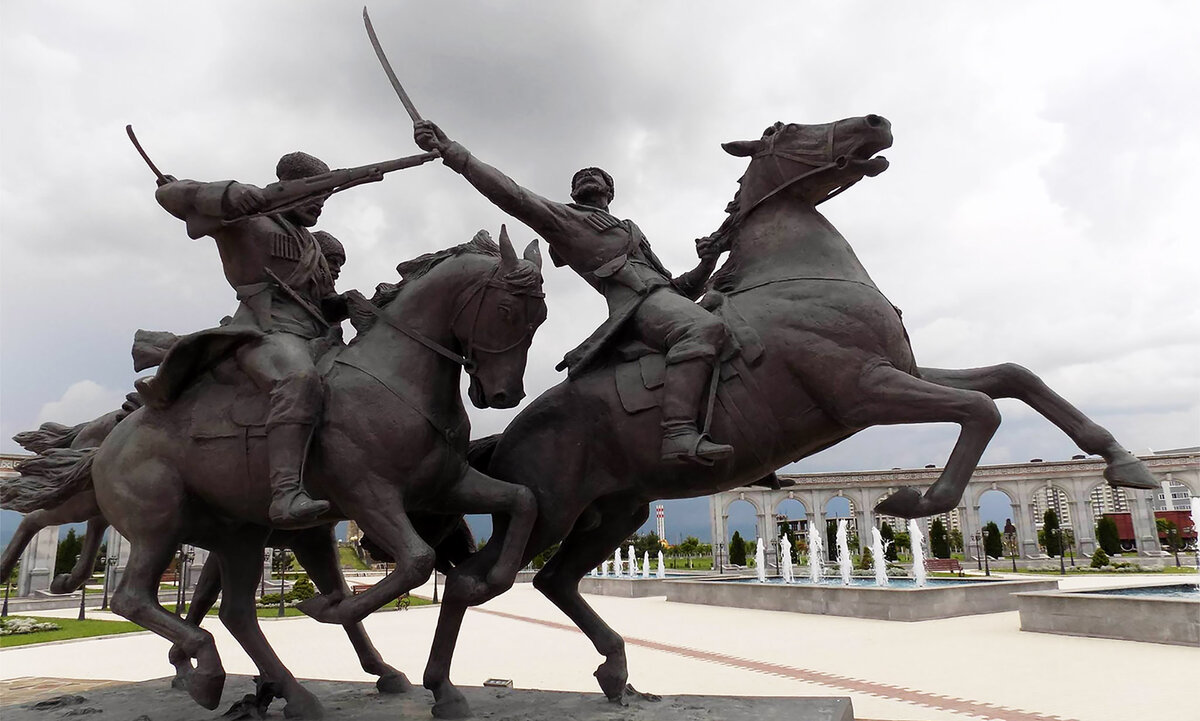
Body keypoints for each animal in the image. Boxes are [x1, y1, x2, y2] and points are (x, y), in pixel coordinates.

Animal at [408, 116, 1156, 715]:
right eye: (783, 129)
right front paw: (913, 499)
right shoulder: (864, 390)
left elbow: (1012, 378)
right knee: (478, 580)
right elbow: (979, 409)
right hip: (549, 507)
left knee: (552, 580)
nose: (877, 123)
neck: (800, 273)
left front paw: (1126, 462)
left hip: (614, 510)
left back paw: (617, 673)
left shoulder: (900, 373)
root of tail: (507, 431)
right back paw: (441, 688)